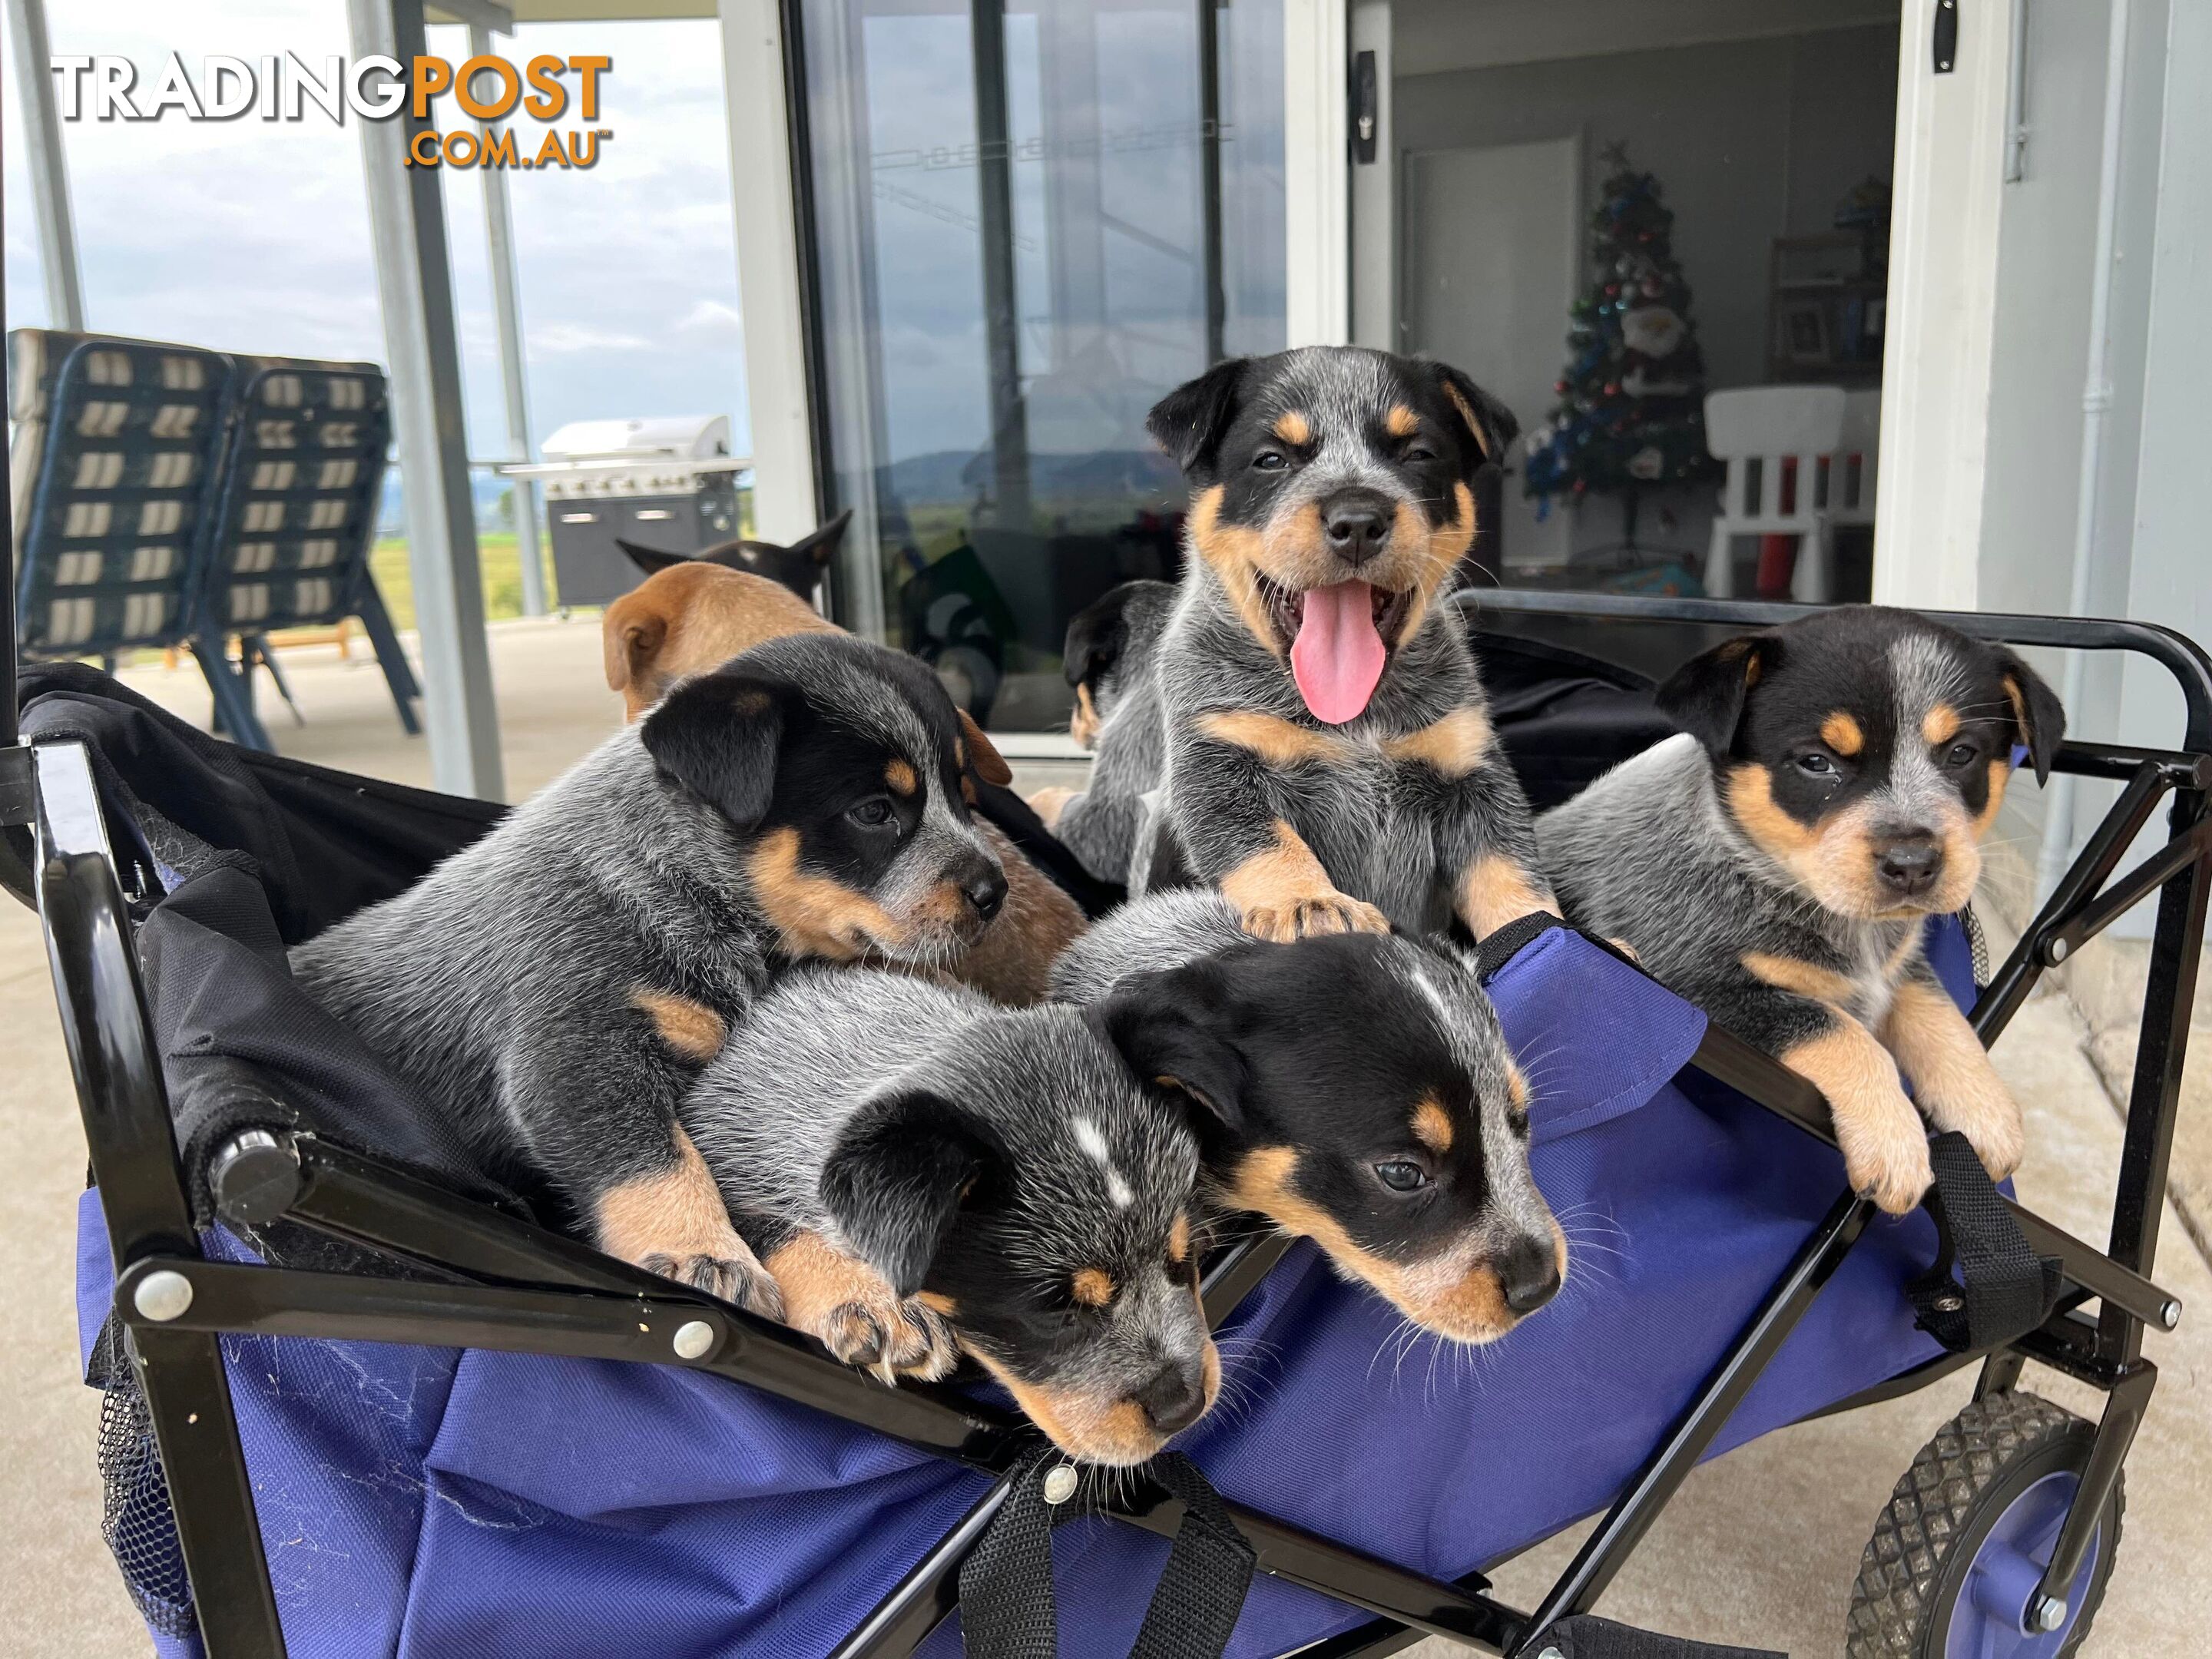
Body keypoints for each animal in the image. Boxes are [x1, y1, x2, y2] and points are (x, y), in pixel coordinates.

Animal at [1132, 345, 1548, 942]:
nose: (1357, 521)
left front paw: (1571, 942)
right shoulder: (1216, 759)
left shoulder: (1470, 771)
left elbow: (1510, 875)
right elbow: (1265, 842)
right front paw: (1307, 902)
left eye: (1418, 454)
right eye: (1271, 460)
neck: (1354, 721)